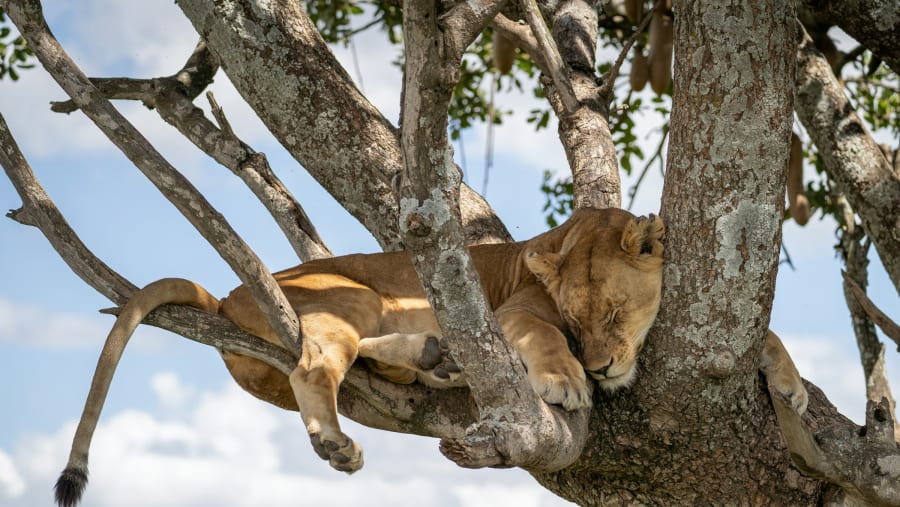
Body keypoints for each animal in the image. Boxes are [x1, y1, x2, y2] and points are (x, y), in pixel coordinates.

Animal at [54, 207, 807, 507]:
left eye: (617, 313)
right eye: (577, 318)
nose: (599, 367)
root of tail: (231, 290)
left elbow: (766, 335)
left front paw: (792, 384)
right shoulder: (514, 313)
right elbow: (544, 342)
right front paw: (565, 382)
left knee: (357, 361)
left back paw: (435, 356)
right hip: (351, 295)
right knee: (314, 365)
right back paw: (342, 437)